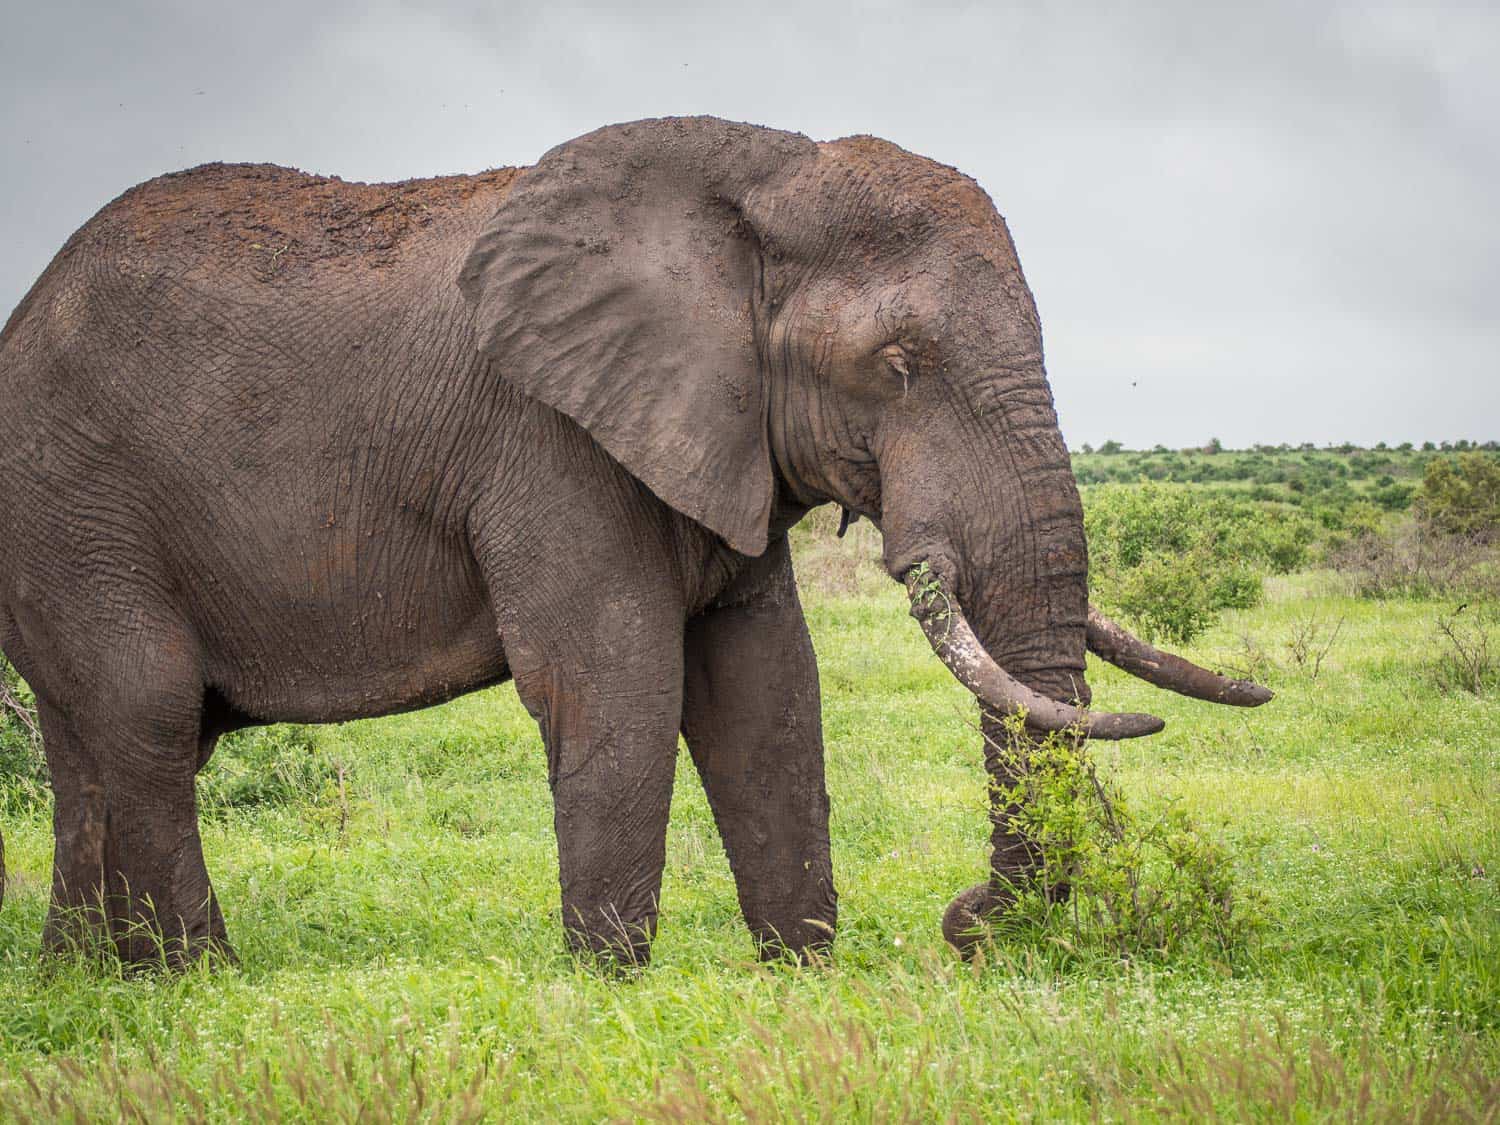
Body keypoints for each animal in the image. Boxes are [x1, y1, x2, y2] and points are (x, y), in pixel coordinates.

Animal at [0, 119, 1266, 972]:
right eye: (899, 363)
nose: (963, 928)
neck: (755, 181)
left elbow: (767, 688)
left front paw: (802, 978)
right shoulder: (545, 438)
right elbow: (617, 678)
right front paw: (609, 990)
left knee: (95, 741)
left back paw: (88, 982)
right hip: (77, 506)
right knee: (149, 713)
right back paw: (200, 981)